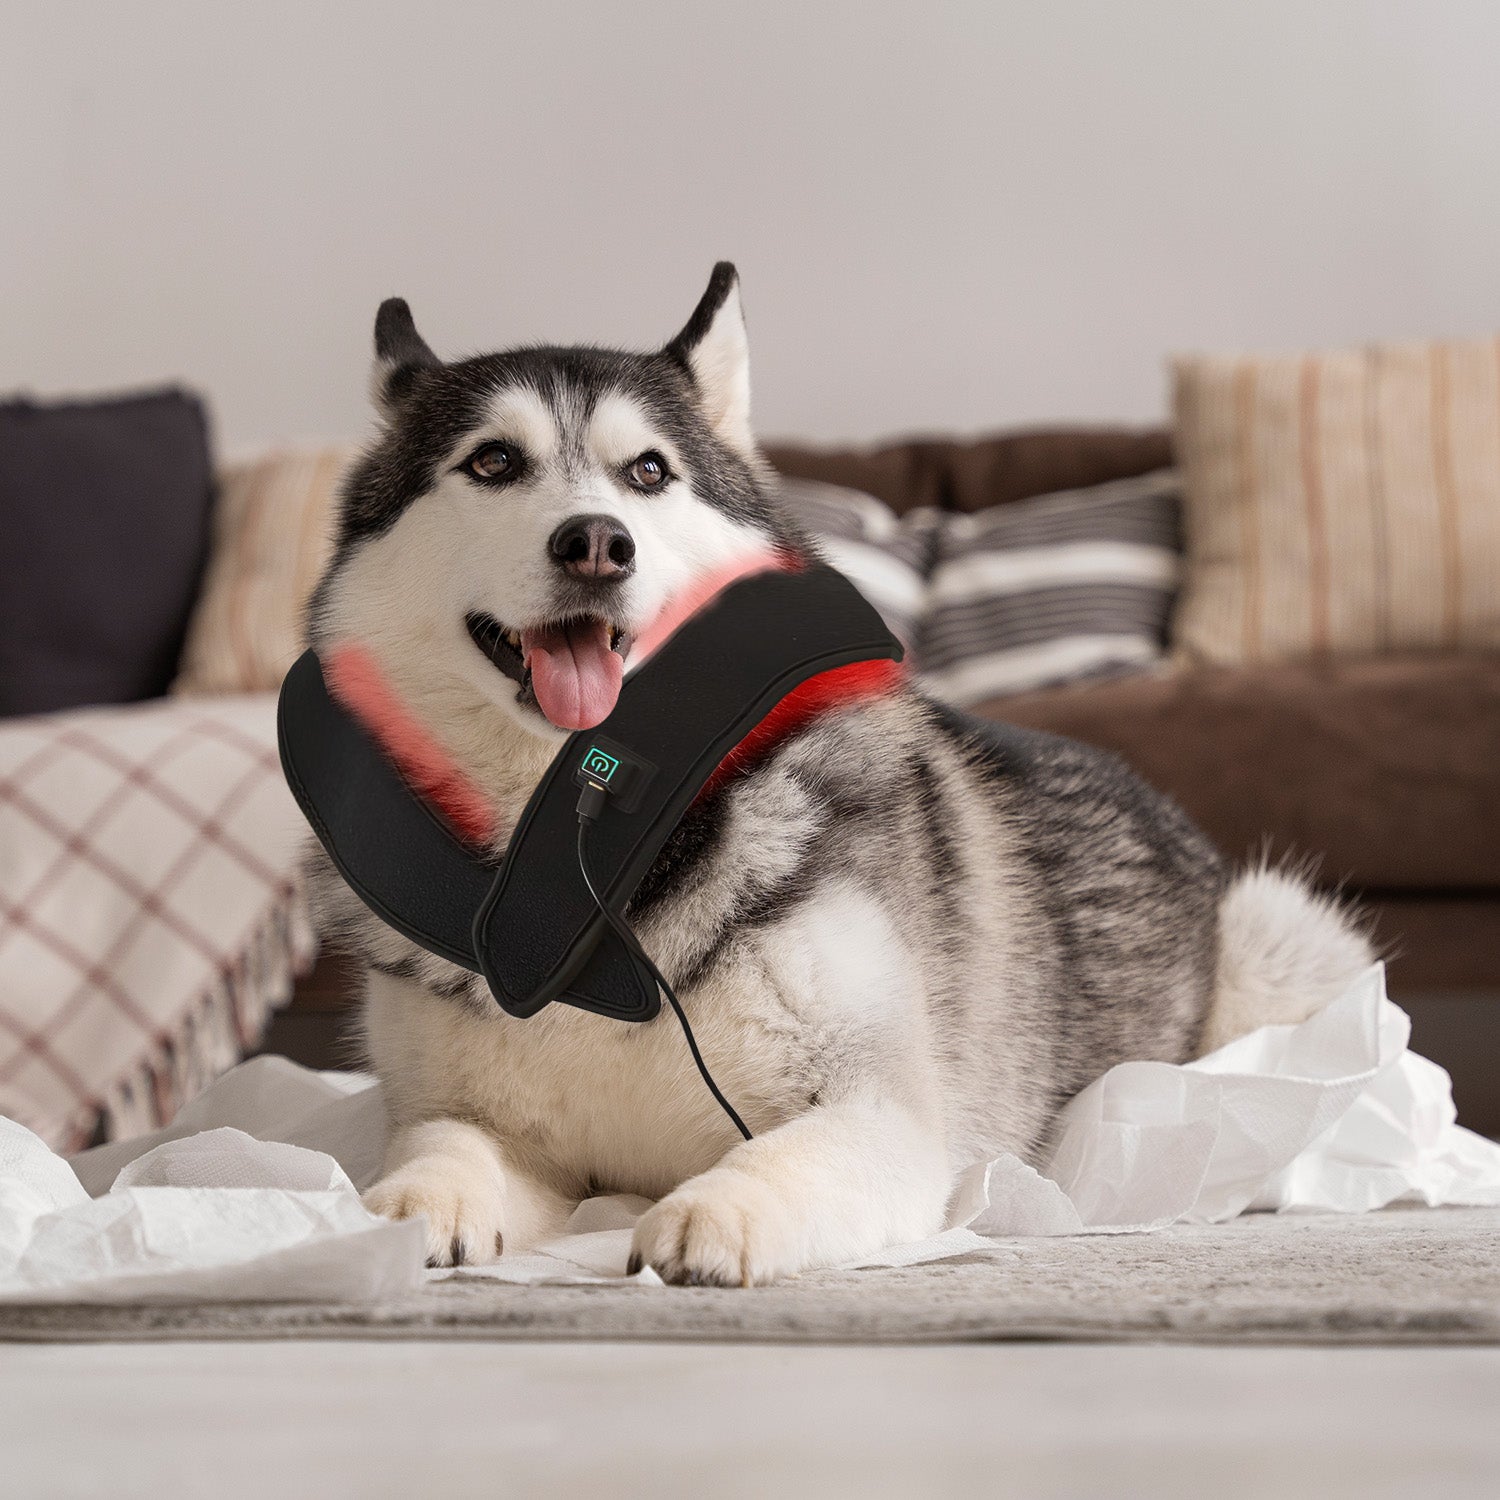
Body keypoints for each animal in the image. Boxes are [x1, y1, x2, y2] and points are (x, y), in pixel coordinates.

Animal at [304, 264, 1374, 1284]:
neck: (584, 856)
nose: (598, 542)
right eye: (492, 461)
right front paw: (401, 1210)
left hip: (1273, 938)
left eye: (647, 470)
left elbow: (784, 1154)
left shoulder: (883, 1114)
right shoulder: (480, 1120)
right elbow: (444, 1146)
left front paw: (718, 1210)